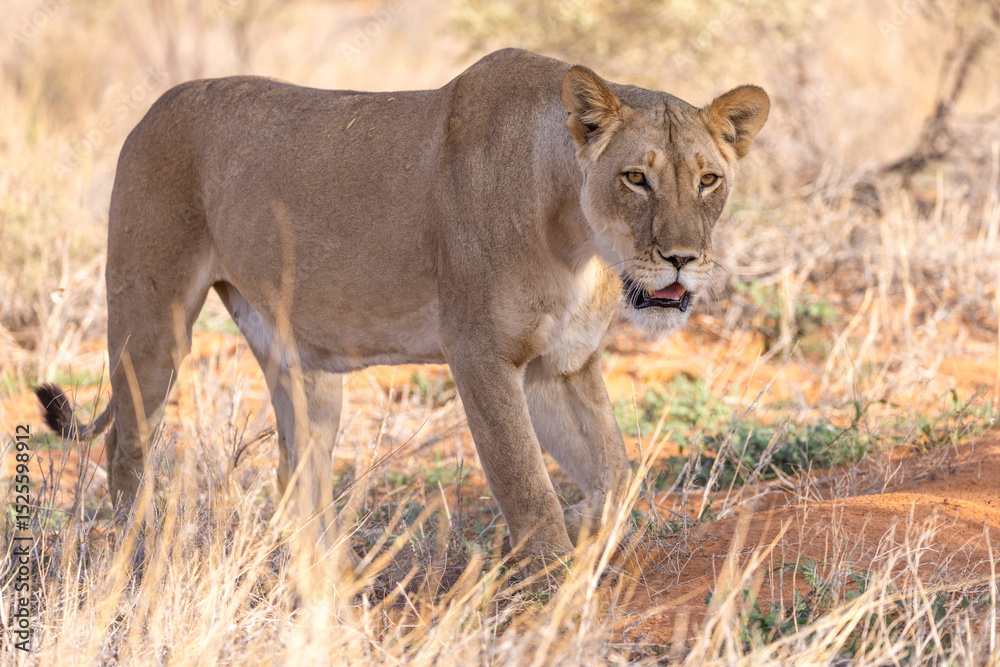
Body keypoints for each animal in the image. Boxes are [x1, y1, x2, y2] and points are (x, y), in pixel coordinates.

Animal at [36, 48, 768, 556]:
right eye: (635, 178)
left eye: (709, 180)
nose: (682, 258)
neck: (580, 242)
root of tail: (156, 105)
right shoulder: (480, 354)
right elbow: (526, 484)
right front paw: (553, 581)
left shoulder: (560, 366)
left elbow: (617, 475)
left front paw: (588, 526)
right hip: (151, 318)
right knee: (126, 447)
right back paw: (139, 557)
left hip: (299, 362)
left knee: (296, 478)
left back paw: (324, 579)